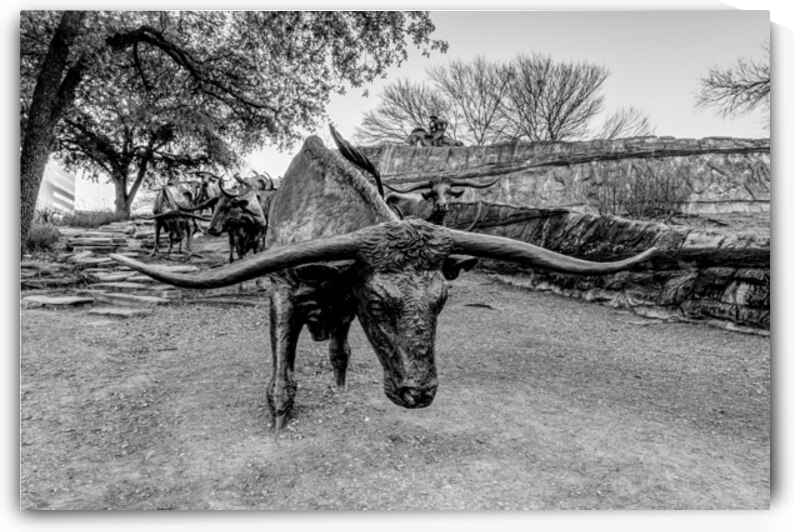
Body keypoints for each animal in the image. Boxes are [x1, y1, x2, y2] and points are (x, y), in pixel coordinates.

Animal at [111, 132, 656, 430]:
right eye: (378, 304)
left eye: (441, 302)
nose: (419, 393)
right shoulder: (283, 296)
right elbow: (281, 373)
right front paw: (280, 416)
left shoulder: (342, 307)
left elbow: (342, 353)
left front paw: (340, 385)